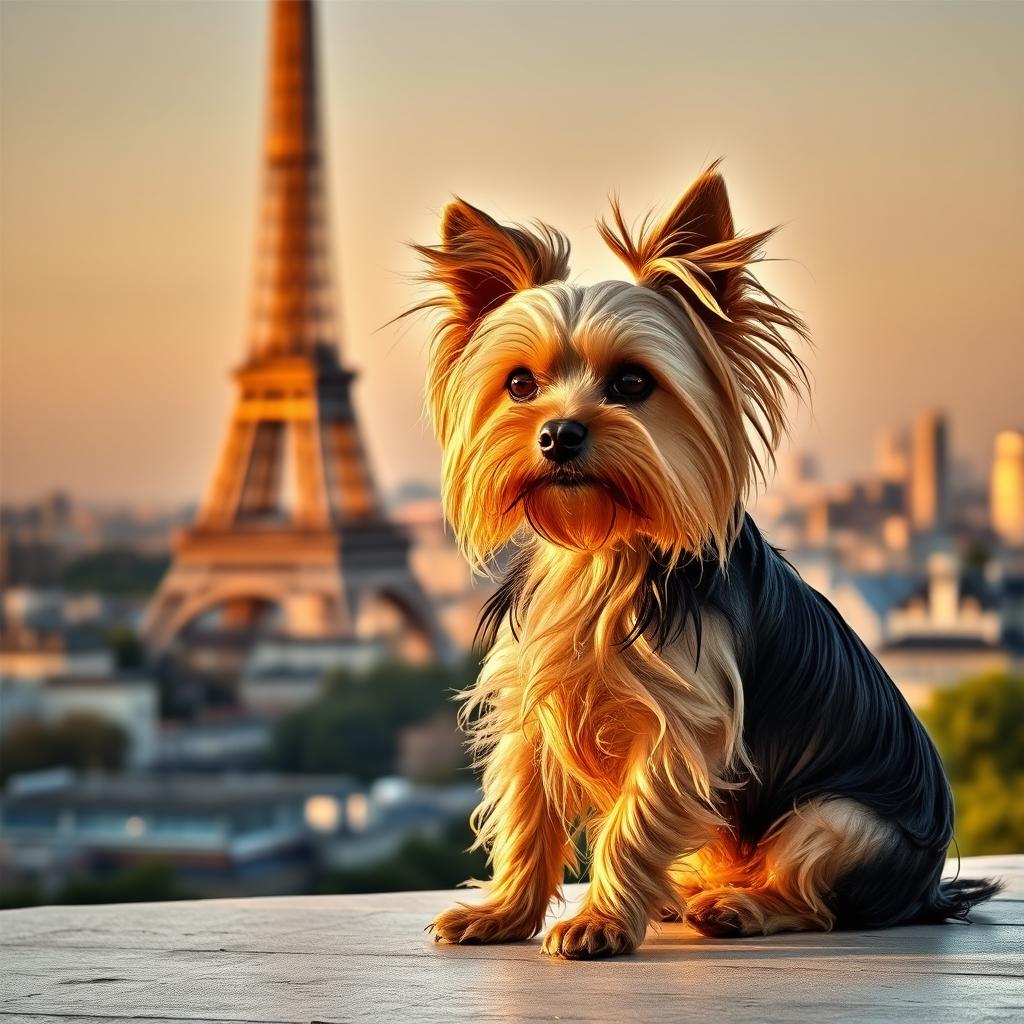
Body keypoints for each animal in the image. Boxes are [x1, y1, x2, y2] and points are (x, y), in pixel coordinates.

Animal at [409, 163, 999, 954]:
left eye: (632, 383)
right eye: (519, 384)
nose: (559, 434)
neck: (600, 549)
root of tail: (931, 888)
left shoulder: (686, 717)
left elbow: (637, 816)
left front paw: (599, 920)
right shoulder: (530, 698)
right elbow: (527, 807)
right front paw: (503, 913)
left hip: (843, 820)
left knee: (814, 896)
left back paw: (738, 907)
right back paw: (681, 897)